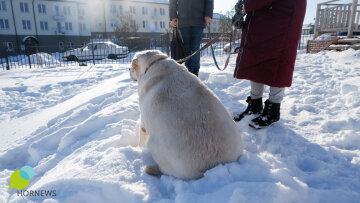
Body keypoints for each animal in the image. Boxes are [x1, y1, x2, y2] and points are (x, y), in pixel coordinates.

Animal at [129, 50, 245, 179]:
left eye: (132, 67)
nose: (128, 69)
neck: (154, 62)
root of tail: (211, 167)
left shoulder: (144, 122)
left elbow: (141, 140)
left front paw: (137, 149)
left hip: (156, 147)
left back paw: (151, 168)